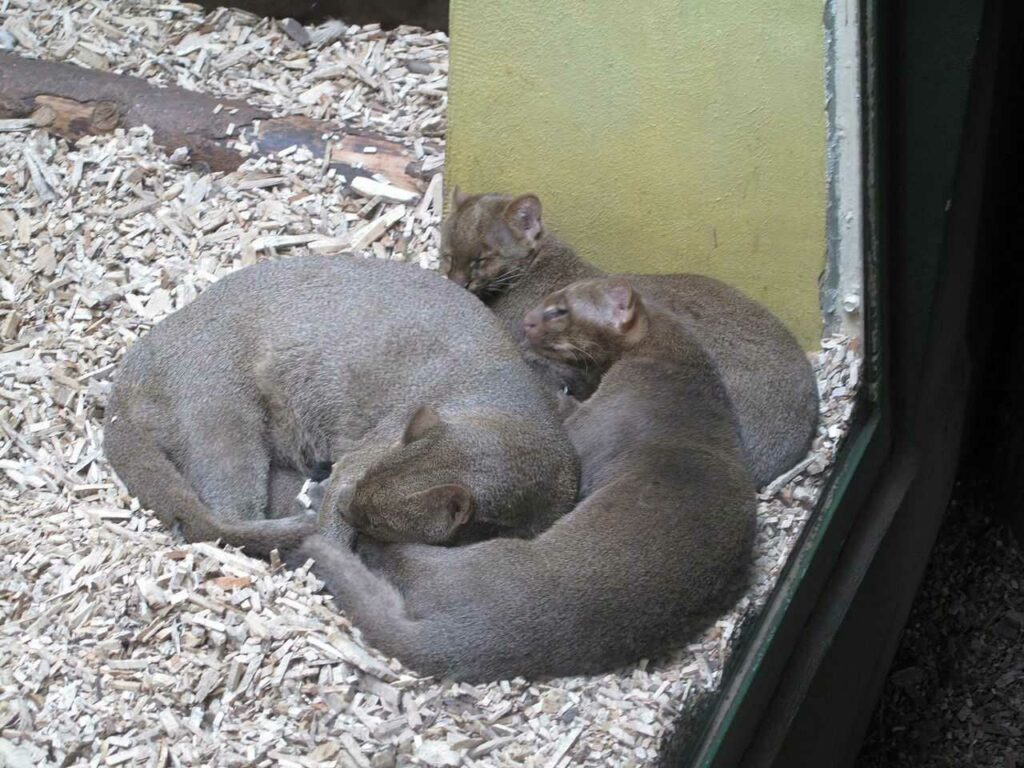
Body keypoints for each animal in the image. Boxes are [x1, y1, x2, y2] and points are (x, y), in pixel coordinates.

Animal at [109, 256, 585, 548]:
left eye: (380, 519)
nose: (345, 506)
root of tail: (125, 375)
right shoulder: (365, 453)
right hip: (222, 419)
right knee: (221, 520)